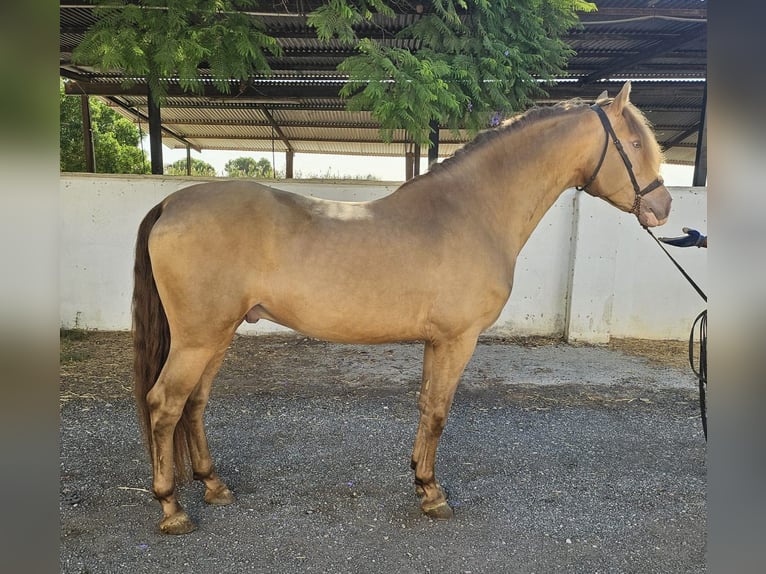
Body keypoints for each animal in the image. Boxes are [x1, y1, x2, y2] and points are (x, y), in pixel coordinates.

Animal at [132, 82, 671, 534]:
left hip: (217, 335)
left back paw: (214, 485)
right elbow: (438, 411)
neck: (471, 211)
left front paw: (419, 478)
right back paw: (172, 507)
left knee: (194, 404)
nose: (663, 207)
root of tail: (173, 204)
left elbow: (425, 406)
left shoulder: (437, 340)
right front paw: (433, 495)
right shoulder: (458, 339)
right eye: (635, 144)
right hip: (199, 339)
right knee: (164, 404)